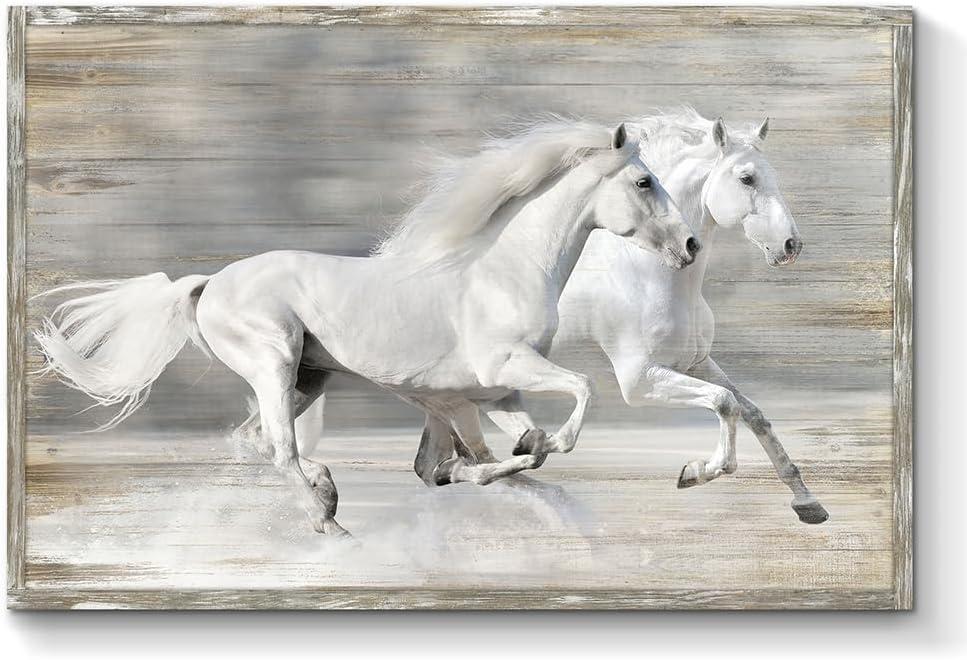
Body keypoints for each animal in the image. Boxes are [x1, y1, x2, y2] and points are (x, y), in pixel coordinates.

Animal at [35, 120, 700, 536]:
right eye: (644, 181)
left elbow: (506, 454)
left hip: (309, 379)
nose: (691, 245)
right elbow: (571, 400)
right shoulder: (498, 374)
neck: (504, 271)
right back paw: (328, 520)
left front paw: (506, 459)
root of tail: (208, 284)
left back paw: (327, 491)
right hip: (275, 364)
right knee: (278, 448)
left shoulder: (495, 393)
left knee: (256, 442)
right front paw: (529, 451)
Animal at [413, 109, 828, 525]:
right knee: (464, 461)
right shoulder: (639, 380)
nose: (791, 245)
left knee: (434, 465)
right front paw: (695, 472)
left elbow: (752, 412)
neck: (649, 273)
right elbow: (725, 402)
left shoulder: (696, 363)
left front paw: (808, 503)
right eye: (747, 178)